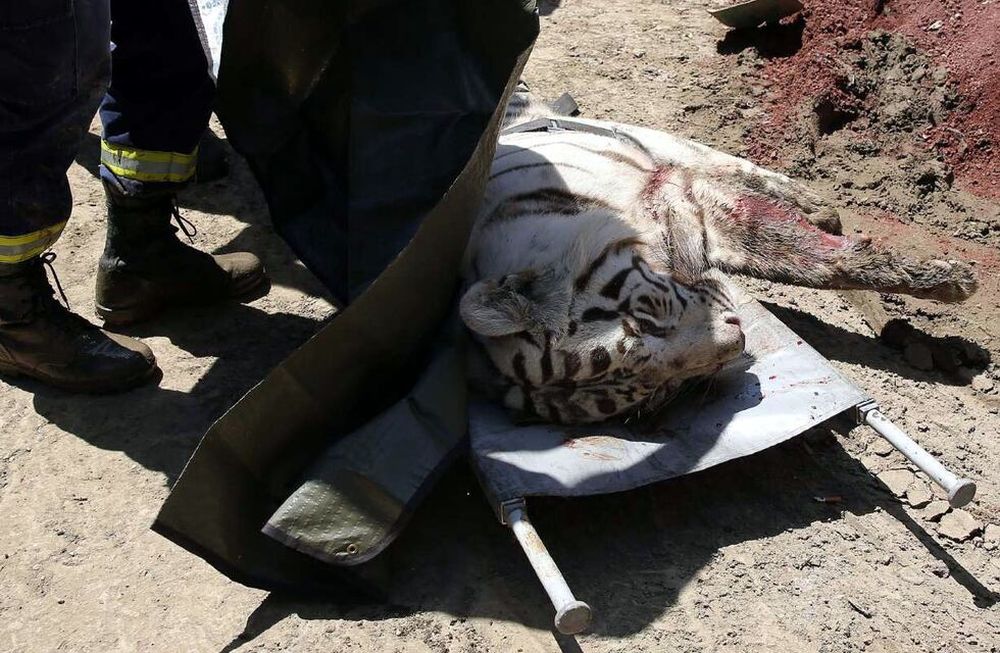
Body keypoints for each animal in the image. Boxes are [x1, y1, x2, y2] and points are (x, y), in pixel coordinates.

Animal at [459, 83, 979, 425]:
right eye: (659, 394)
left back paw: (818, 205)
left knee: (730, 164)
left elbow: (808, 255)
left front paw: (948, 279)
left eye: (648, 317)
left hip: (654, 143)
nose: (737, 340)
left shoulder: (678, 196)